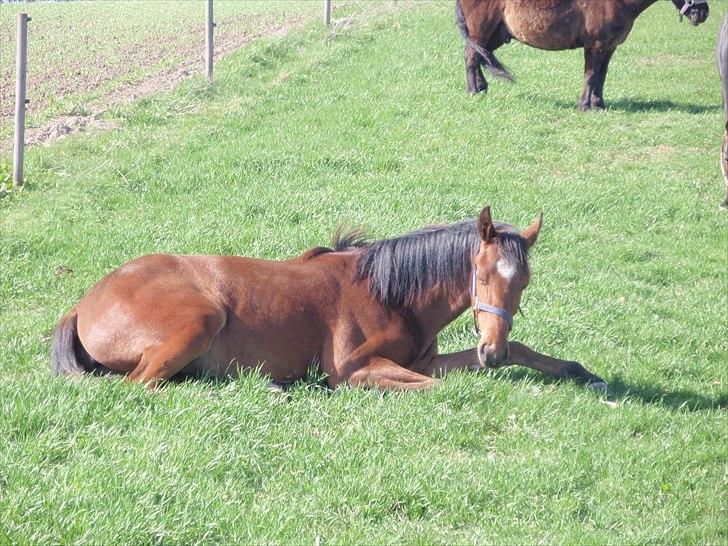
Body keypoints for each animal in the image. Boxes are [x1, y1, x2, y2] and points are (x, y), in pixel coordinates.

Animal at [52, 208, 608, 392]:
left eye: (524, 282)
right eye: (483, 275)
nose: (489, 349)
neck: (389, 293)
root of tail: (81, 304)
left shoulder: (427, 360)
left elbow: (516, 355)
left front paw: (582, 373)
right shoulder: (354, 371)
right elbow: (438, 388)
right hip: (201, 320)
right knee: (139, 386)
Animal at [458, 0, 708, 110]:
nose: (703, 12)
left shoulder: (608, 48)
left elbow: (600, 78)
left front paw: (598, 105)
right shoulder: (595, 46)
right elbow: (590, 76)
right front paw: (586, 106)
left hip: (496, 35)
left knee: (479, 56)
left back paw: (481, 88)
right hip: (481, 32)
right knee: (471, 57)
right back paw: (473, 91)